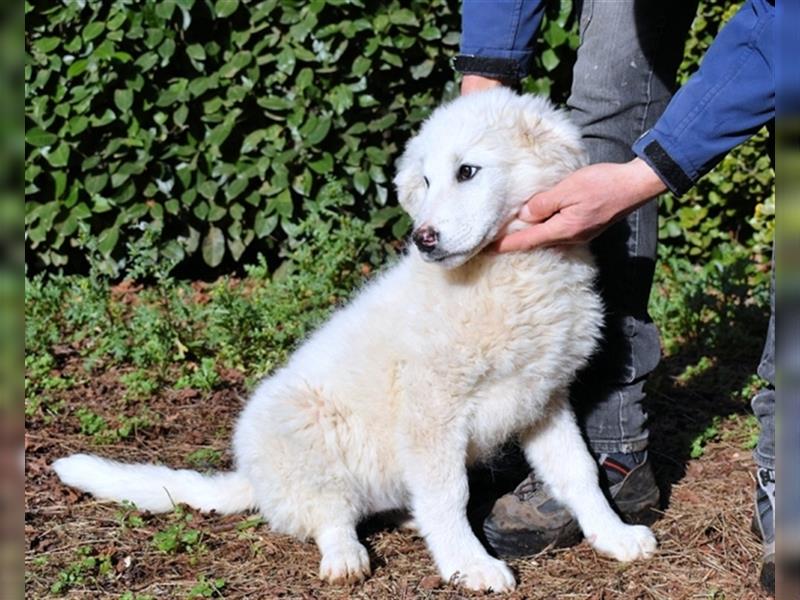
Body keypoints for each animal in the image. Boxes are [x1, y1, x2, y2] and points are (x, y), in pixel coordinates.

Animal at [54, 88, 656, 592]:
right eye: (426, 182)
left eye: (467, 172)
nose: (423, 239)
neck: (505, 274)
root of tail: (253, 479)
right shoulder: (431, 411)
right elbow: (450, 494)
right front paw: (469, 565)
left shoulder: (543, 396)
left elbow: (579, 472)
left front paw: (614, 535)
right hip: (306, 429)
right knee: (330, 514)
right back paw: (346, 557)